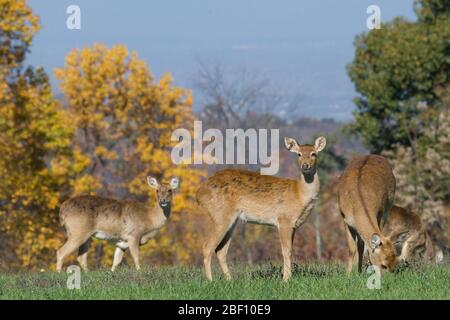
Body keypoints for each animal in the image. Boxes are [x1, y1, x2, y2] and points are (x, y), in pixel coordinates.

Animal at [195, 136, 326, 282]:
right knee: (207, 246)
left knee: (220, 250)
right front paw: (286, 279)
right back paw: (210, 281)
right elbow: (286, 251)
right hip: (220, 215)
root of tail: (199, 194)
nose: (305, 165)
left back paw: (230, 280)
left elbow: (290, 250)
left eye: (313, 154)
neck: (299, 194)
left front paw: (287, 277)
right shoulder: (284, 219)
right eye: (299, 154)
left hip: (231, 219)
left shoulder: (294, 225)